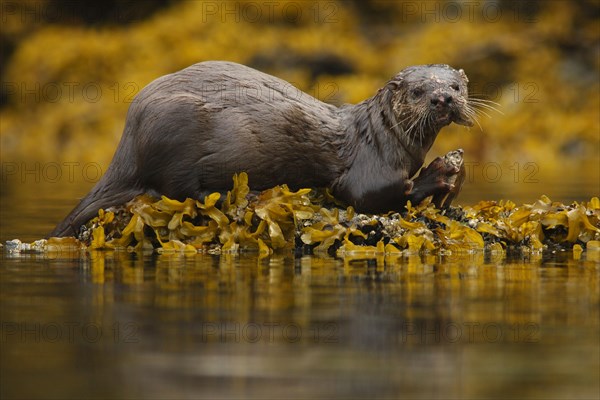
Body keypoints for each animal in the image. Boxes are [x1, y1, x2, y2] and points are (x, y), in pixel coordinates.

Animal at [49, 61, 474, 238]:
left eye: (455, 87)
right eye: (418, 92)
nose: (442, 98)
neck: (386, 136)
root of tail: (129, 140)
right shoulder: (367, 174)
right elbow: (375, 195)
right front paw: (441, 173)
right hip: (174, 129)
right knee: (179, 190)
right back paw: (245, 194)